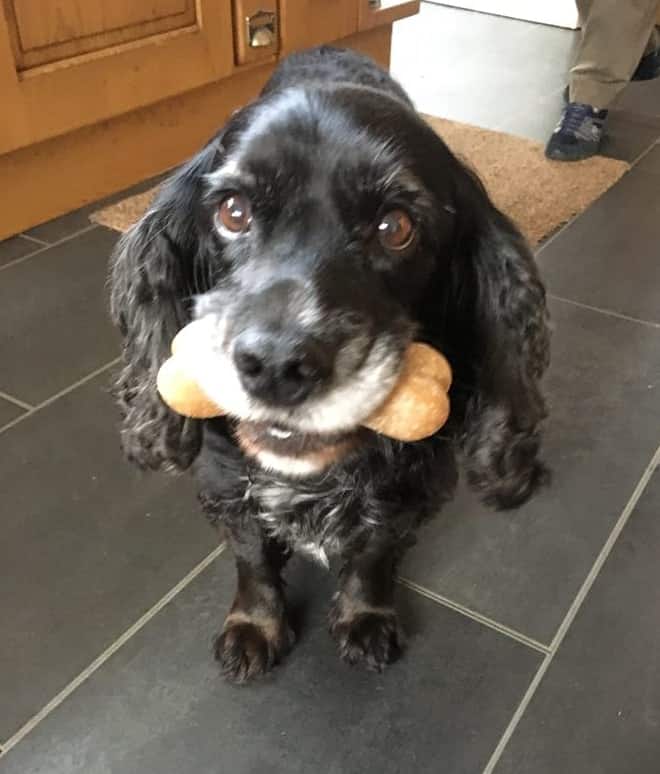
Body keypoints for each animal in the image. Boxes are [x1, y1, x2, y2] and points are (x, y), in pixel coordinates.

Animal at [111, 45, 548, 684]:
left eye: (396, 227)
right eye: (234, 212)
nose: (275, 364)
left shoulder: (406, 491)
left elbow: (372, 555)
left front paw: (366, 618)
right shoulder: (225, 482)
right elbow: (252, 559)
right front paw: (255, 627)